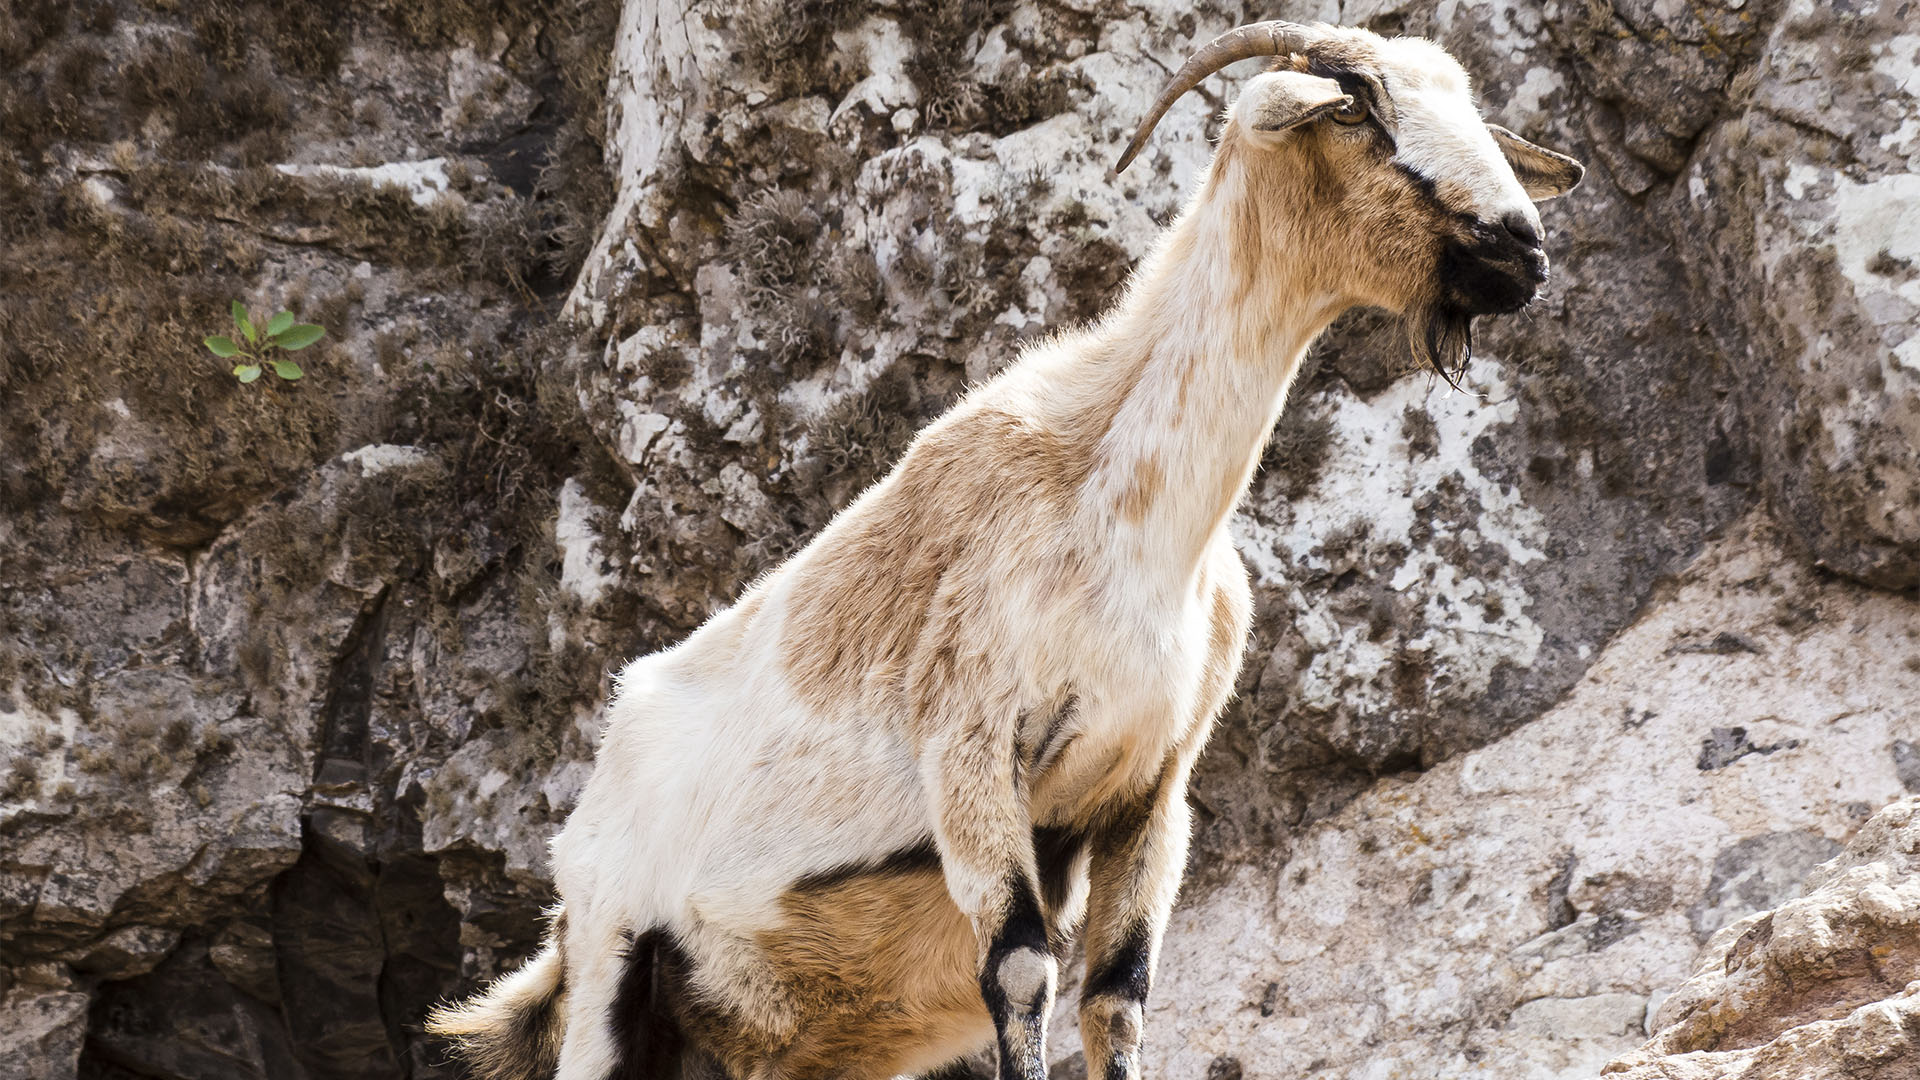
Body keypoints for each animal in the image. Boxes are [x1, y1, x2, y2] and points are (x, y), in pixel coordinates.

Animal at [432, 18, 1574, 1076]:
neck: (1127, 519)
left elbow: (1117, 997)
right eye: (1360, 112)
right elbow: (1023, 969)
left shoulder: (1152, 784)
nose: (1523, 251)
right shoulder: (975, 748)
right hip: (615, 958)